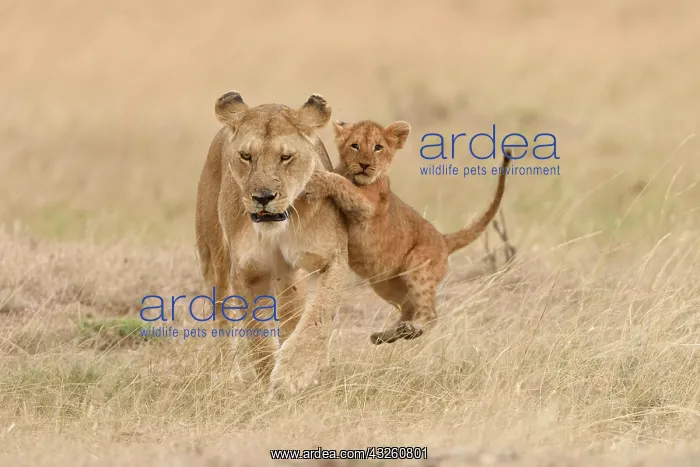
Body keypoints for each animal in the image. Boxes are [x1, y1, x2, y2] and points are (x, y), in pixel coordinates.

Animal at [194, 91, 348, 399]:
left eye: (285, 157)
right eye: (246, 156)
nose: (263, 197)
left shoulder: (333, 258)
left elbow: (318, 315)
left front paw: (293, 374)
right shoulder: (247, 272)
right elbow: (257, 334)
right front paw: (270, 381)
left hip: (291, 276)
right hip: (213, 256)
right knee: (221, 313)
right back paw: (225, 374)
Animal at [303, 119, 511, 344]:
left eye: (378, 147)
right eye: (355, 146)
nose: (365, 165)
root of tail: (443, 239)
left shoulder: (370, 206)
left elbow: (342, 184)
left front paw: (316, 179)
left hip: (417, 266)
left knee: (431, 314)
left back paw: (413, 329)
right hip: (386, 285)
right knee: (409, 308)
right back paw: (388, 335)